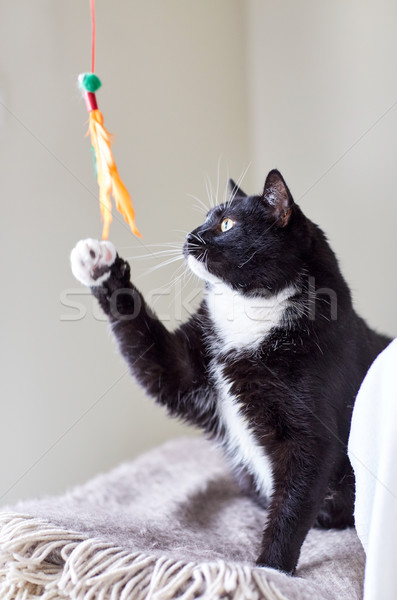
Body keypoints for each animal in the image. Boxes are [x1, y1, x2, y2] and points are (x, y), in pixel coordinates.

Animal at [70, 171, 386, 576]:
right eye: (206, 218)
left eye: (226, 224)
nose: (190, 235)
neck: (249, 310)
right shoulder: (186, 367)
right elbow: (151, 352)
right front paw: (98, 267)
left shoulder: (313, 435)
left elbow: (294, 502)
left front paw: (270, 571)